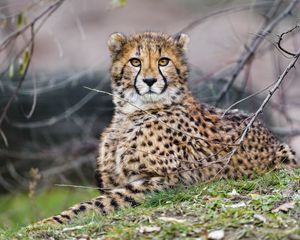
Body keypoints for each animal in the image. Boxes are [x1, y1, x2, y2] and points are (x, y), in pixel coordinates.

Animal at [39, 31, 298, 225]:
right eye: (135, 61)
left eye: (163, 61)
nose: (149, 81)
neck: (132, 113)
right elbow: (101, 198)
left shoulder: (169, 180)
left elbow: (95, 203)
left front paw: (47, 222)